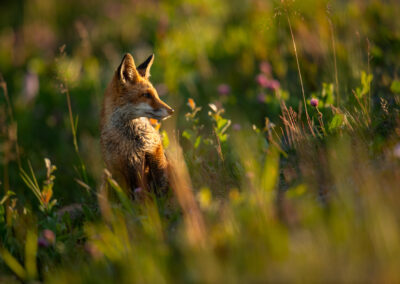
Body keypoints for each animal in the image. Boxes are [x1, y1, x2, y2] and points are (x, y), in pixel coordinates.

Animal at [100, 52, 173, 196]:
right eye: (147, 95)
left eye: (156, 94)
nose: (171, 111)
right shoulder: (118, 168)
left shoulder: (154, 151)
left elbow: (161, 183)